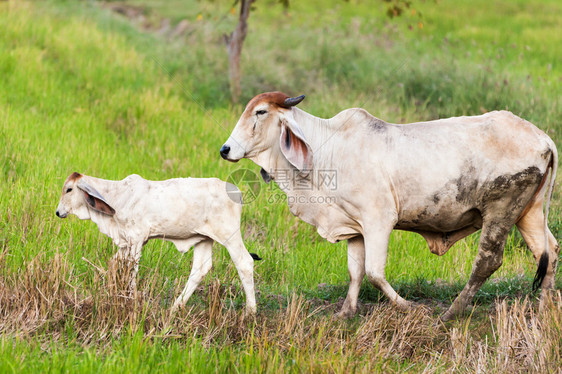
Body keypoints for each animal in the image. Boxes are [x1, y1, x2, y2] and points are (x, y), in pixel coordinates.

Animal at [219, 92, 556, 320]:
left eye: (260, 111)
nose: (225, 149)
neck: (327, 151)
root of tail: (543, 138)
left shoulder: (379, 220)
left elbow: (374, 272)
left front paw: (410, 307)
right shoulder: (355, 228)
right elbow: (355, 272)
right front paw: (346, 312)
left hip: (500, 211)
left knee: (488, 261)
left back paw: (452, 312)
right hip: (528, 212)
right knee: (548, 251)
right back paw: (544, 309)